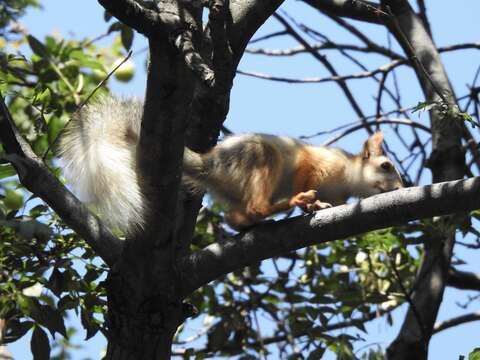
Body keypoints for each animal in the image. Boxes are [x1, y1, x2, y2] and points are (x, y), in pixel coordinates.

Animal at [59, 94, 404, 232]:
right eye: (386, 165)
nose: (401, 187)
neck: (348, 179)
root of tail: (211, 165)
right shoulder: (317, 160)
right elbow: (306, 170)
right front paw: (311, 203)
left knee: (236, 217)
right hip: (260, 158)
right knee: (254, 206)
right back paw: (290, 202)